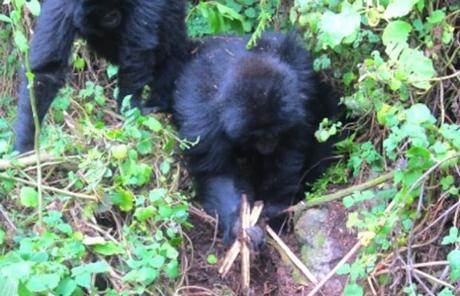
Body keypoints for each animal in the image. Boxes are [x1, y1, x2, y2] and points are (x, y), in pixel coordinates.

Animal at [14, 0, 187, 153]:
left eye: (110, 14)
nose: (112, 17)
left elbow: (137, 48)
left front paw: (130, 110)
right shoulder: (62, 7)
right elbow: (46, 71)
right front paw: (26, 145)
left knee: (170, 46)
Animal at [174, 33, 340, 245]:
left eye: (275, 132)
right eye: (255, 136)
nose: (268, 145)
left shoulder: (296, 104)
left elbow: (285, 160)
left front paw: (273, 211)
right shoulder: (203, 120)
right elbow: (218, 173)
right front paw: (238, 225)